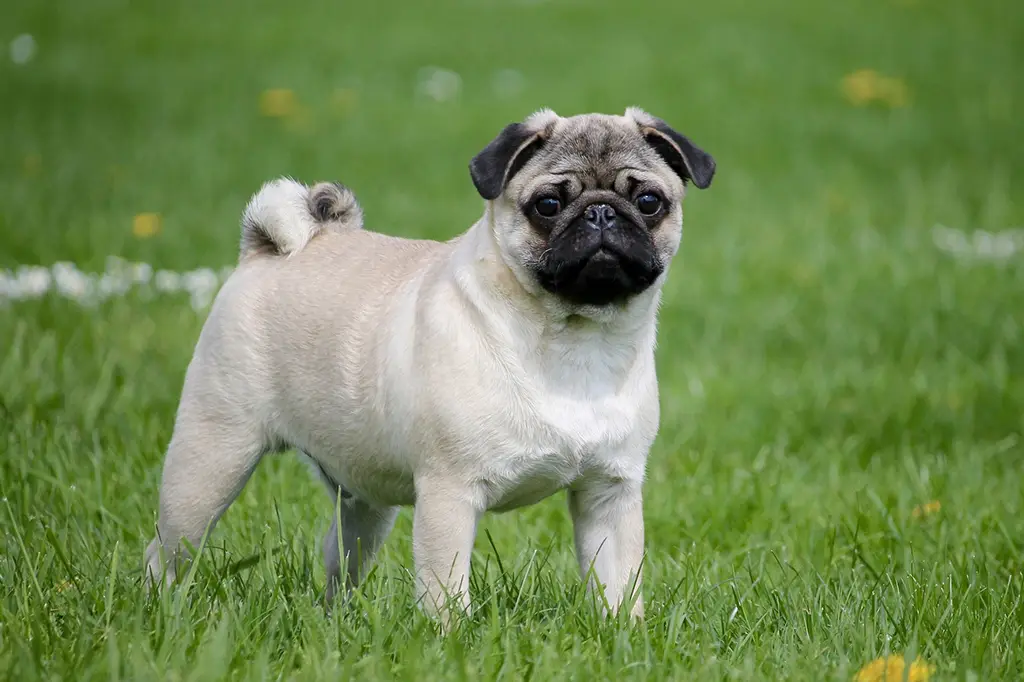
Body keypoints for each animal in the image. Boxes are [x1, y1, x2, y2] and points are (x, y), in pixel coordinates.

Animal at [144, 106, 712, 622]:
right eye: (548, 204)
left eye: (648, 201)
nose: (601, 212)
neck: (575, 337)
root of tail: (269, 250)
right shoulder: (449, 494)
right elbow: (445, 592)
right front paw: (451, 642)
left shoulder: (610, 495)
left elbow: (619, 586)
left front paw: (624, 639)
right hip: (211, 462)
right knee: (166, 551)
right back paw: (157, 611)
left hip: (364, 504)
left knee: (340, 558)